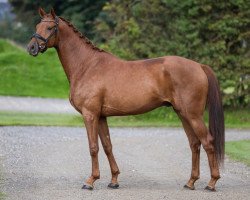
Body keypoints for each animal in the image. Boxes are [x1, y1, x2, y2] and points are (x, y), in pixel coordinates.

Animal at [27, 8, 225, 191]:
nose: (32, 48)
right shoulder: (101, 116)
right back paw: (190, 182)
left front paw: (90, 181)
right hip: (183, 114)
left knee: (208, 142)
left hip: (193, 115)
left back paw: (211, 183)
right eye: (37, 26)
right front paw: (114, 180)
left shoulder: (89, 114)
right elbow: (107, 146)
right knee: (194, 144)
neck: (87, 66)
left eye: (50, 27)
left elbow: (93, 147)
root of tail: (199, 66)